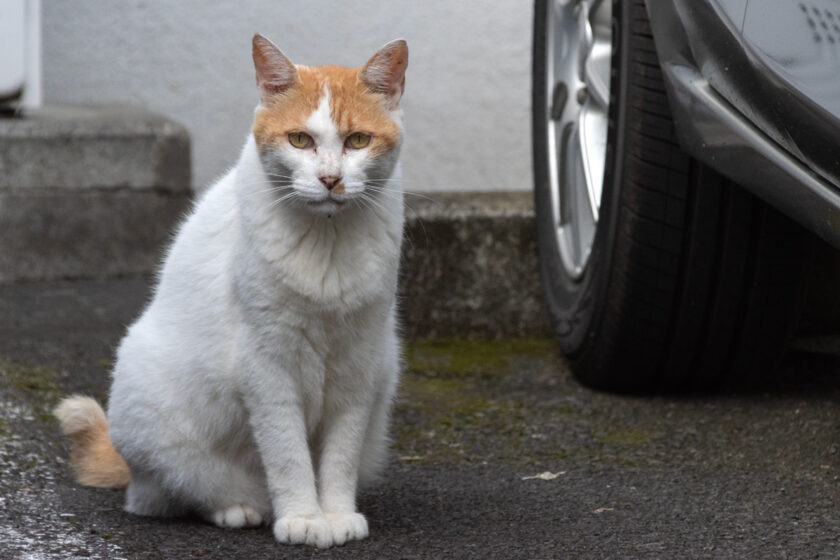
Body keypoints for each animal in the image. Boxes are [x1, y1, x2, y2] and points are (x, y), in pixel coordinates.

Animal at [51, 32, 406, 548]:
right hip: (155, 413)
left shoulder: (359, 363)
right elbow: (287, 452)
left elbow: (339, 454)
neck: (327, 243)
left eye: (358, 140)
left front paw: (336, 514)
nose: (330, 179)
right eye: (300, 139)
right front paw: (303, 517)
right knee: (169, 494)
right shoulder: (267, 366)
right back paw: (238, 508)